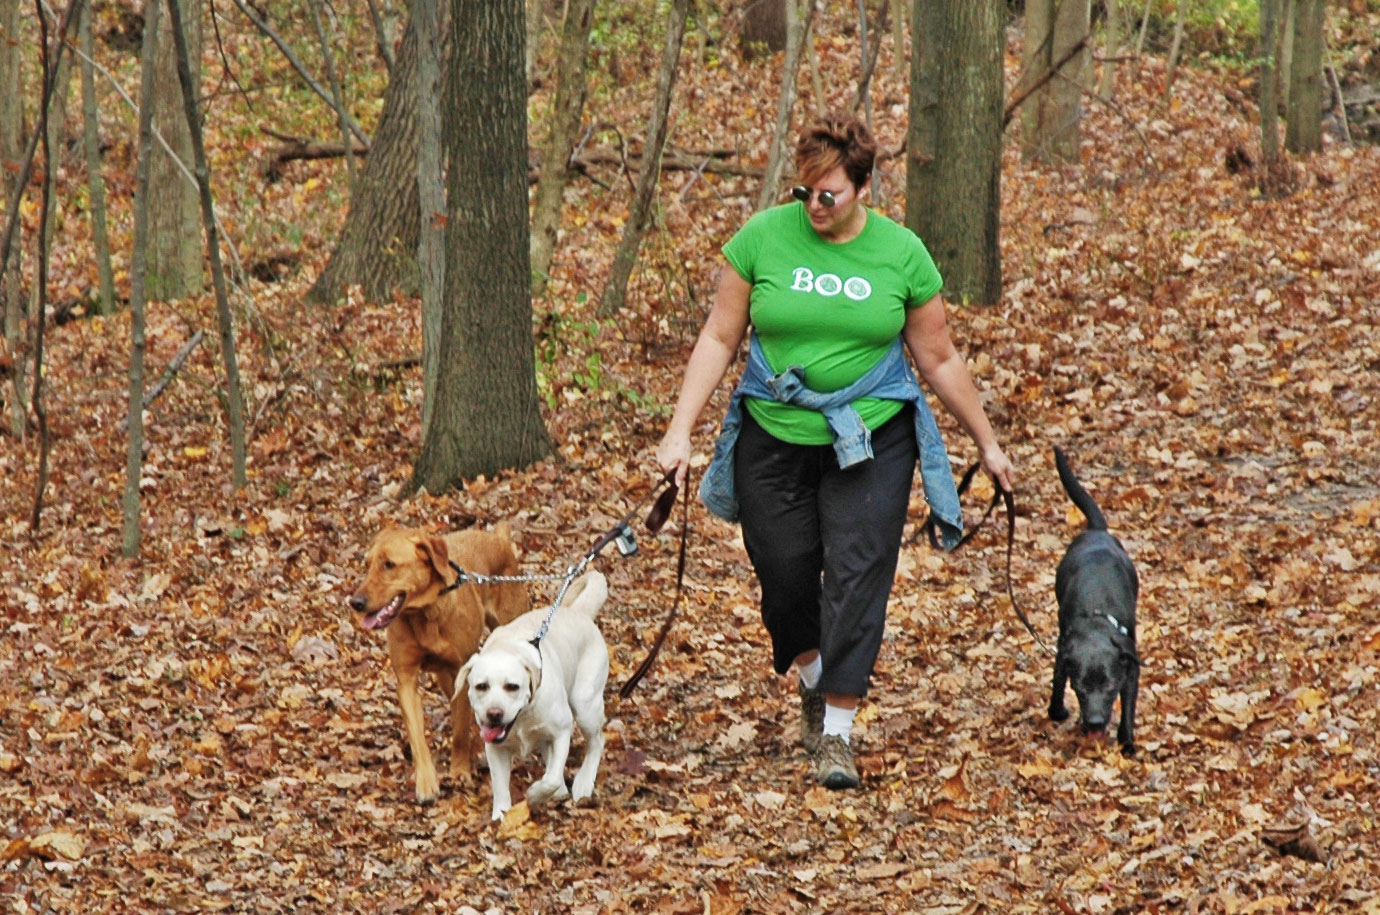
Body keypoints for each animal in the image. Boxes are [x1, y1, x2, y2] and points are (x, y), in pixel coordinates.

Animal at [350, 527, 527, 805]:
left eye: (389, 564)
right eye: (367, 565)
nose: (355, 602)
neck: (424, 614)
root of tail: (497, 537)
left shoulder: (461, 671)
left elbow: (460, 732)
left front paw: (460, 771)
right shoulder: (407, 680)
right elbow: (418, 738)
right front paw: (426, 783)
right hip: (445, 679)